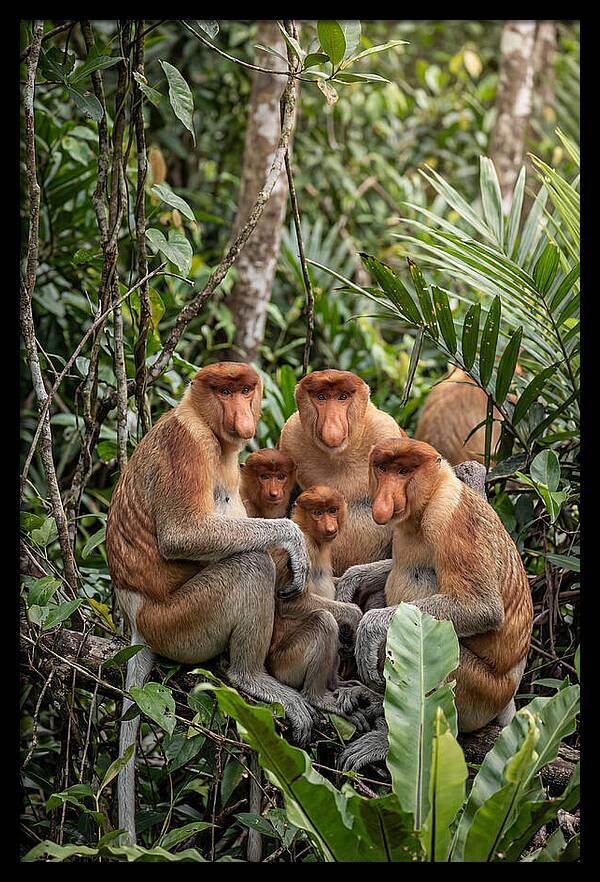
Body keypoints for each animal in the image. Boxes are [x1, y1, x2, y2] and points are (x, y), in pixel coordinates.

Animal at [106, 362, 317, 844]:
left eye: (245, 390)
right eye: (223, 391)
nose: (242, 415)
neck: (204, 421)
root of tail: (137, 621)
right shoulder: (187, 445)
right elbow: (183, 534)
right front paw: (293, 540)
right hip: (180, 622)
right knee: (250, 566)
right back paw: (249, 676)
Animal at [267, 485, 379, 726]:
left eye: (332, 510)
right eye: (317, 513)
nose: (329, 527)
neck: (311, 534)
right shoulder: (302, 550)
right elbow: (289, 602)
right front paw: (355, 614)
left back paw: (340, 684)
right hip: (287, 665)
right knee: (324, 621)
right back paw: (318, 697)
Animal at [278, 369, 406, 576]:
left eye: (342, 397)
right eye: (321, 397)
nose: (332, 428)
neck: (339, 456)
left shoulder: (386, 431)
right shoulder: (290, 437)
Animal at [336, 437, 532, 771]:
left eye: (404, 471)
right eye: (383, 468)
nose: (385, 499)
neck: (429, 498)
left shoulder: (451, 519)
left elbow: (481, 607)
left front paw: (370, 628)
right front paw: (352, 580)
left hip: (480, 692)